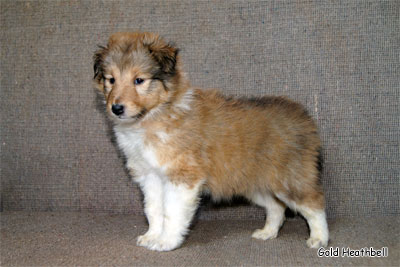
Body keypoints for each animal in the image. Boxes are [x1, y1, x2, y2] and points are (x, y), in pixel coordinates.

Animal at [93, 32, 328, 252]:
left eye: (139, 80)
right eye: (111, 80)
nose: (116, 108)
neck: (153, 116)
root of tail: (303, 116)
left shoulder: (182, 177)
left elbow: (171, 212)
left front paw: (166, 242)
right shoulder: (149, 176)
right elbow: (153, 209)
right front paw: (151, 236)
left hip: (289, 179)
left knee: (314, 204)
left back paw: (319, 239)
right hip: (255, 182)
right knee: (276, 207)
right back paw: (267, 233)